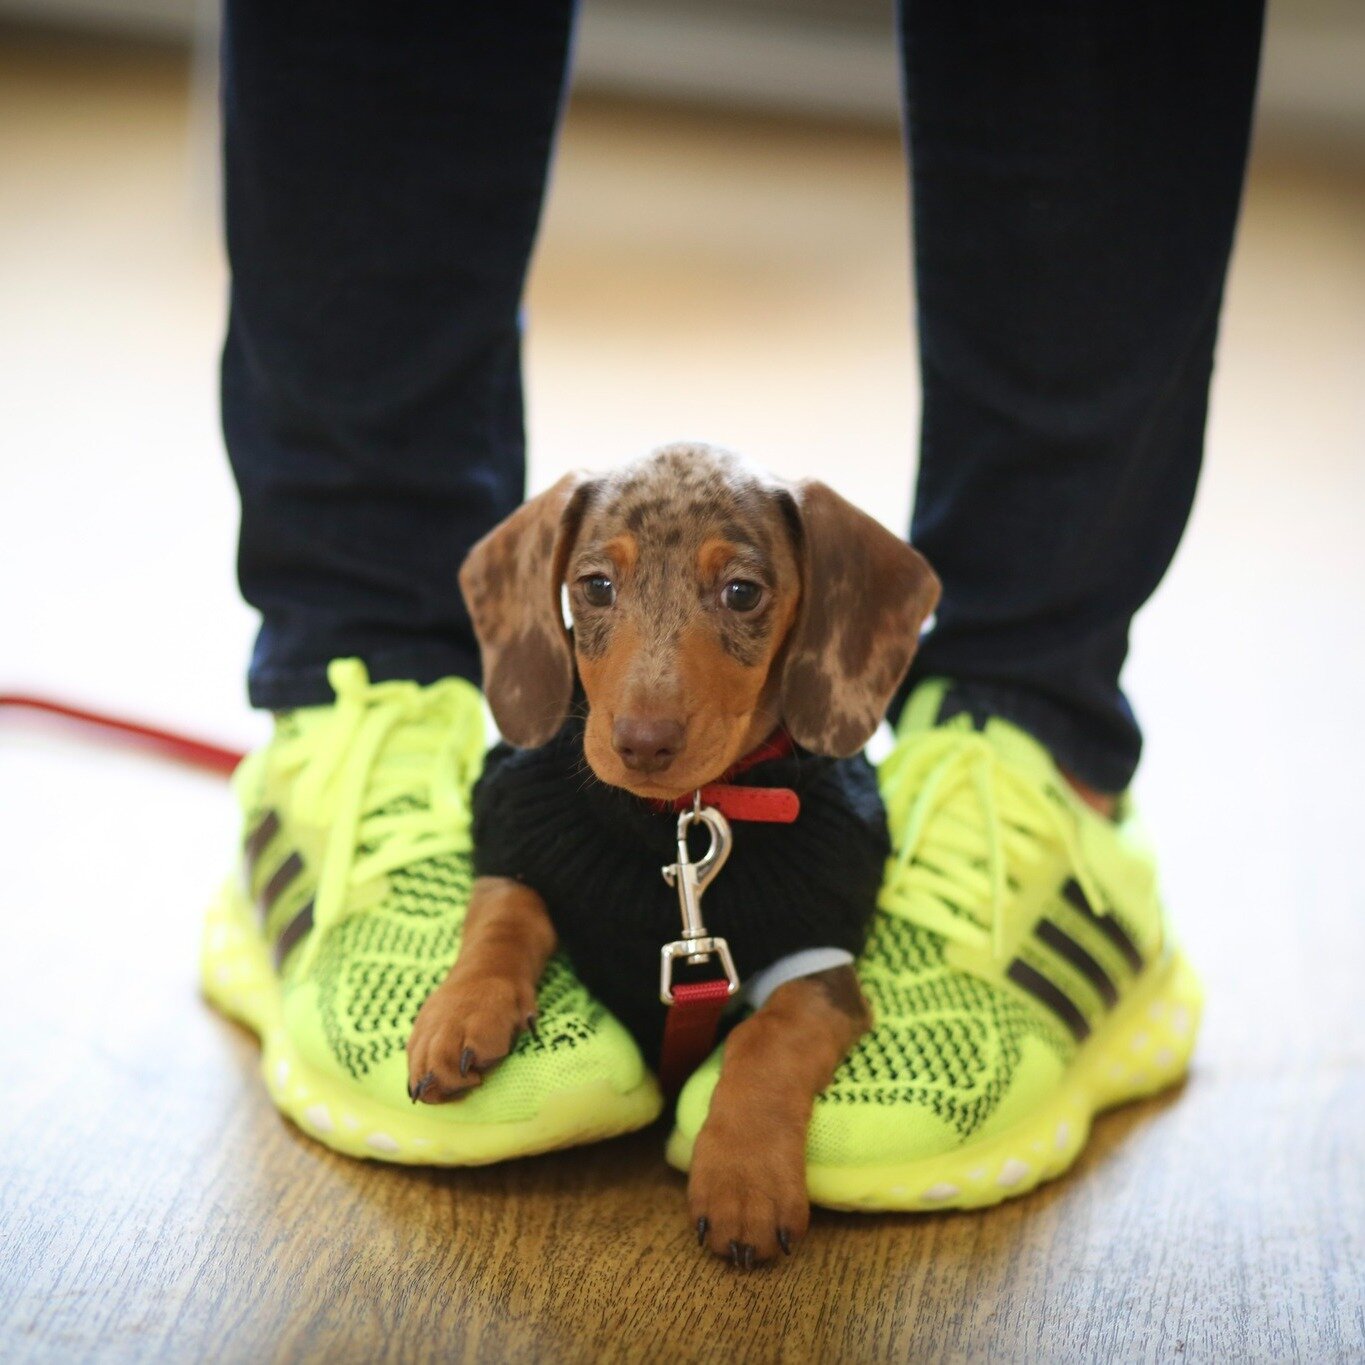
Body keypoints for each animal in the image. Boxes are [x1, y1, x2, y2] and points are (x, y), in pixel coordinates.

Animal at [404, 442, 939, 1261]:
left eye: (742, 592)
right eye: (595, 585)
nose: (641, 744)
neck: (678, 819)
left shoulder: (819, 961)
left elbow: (770, 1038)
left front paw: (744, 1175)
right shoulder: (518, 834)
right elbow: (505, 910)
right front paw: (461, 1011)